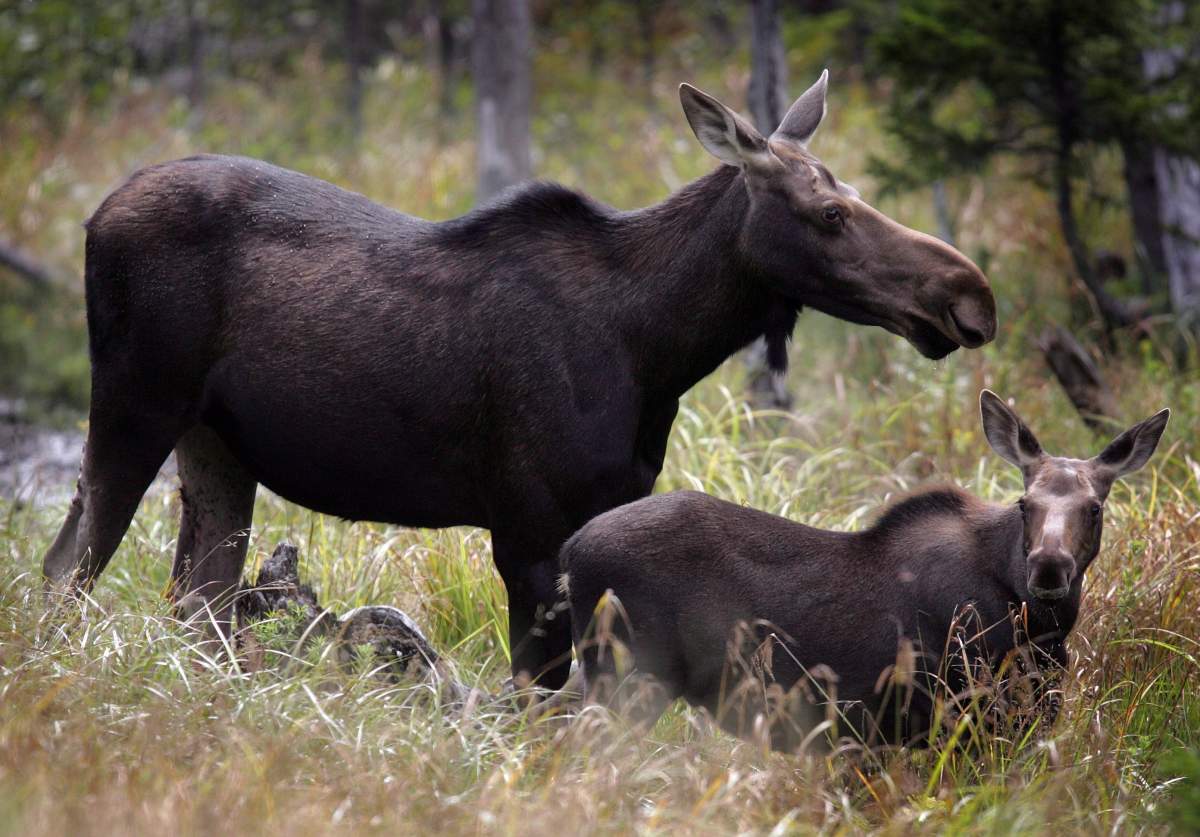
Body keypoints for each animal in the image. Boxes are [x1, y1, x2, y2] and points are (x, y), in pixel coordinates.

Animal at [43, 71, 995, 691]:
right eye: (830, 213)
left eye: (856, 191)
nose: (970, 295)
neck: (658, 347)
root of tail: (92, 215)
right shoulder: (530, 530)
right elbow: (537, 697)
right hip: (132, 404)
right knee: (67, 566)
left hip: (216, 445)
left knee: (194, 602)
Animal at [561, 391, 1169, 747]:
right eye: (1025, 504)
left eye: (1095, 507)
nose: (1047, 567)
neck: (1044, 630)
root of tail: (569, 554)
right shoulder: (960, 713)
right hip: (628, 676)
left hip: (597, 671)